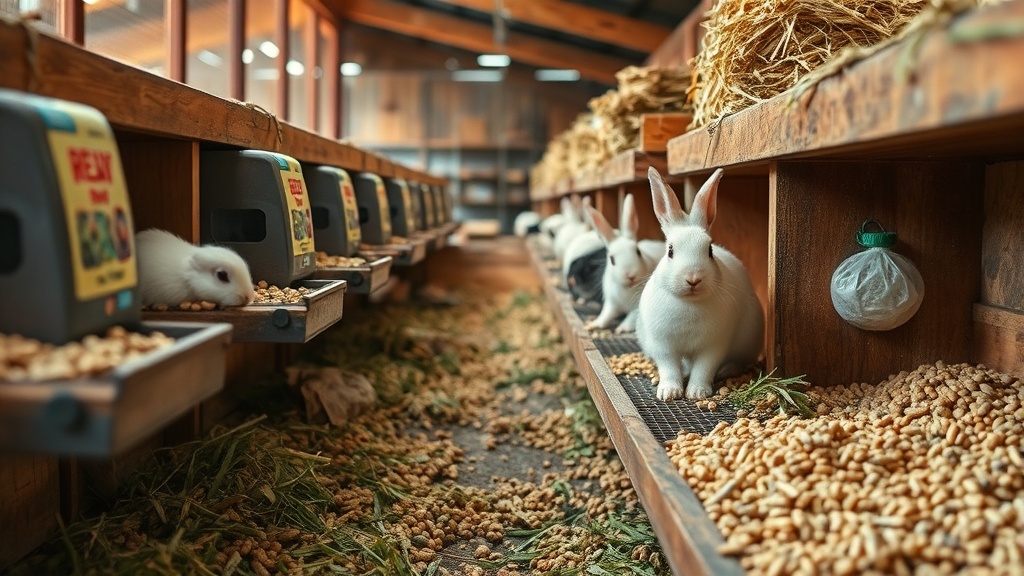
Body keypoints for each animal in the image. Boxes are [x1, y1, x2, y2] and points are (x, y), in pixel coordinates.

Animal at [585, 193, 664, 333]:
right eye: (612, 259)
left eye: (638, 252)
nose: (631, 275)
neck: (627, 288)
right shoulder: (611, 303)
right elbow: (605, 315)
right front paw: (594, 325)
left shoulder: (636, 309)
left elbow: (630, 320)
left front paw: (620, 329)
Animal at [636, 168, 764, 401]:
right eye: (670, 251)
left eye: (709, 250)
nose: (693, 278)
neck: (689, 303)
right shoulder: (663, 346)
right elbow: (669, 369)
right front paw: (669, 392)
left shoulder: (713, 346)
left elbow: (704, 369)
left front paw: (697, 392)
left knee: (737, 362)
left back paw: (725, 371)